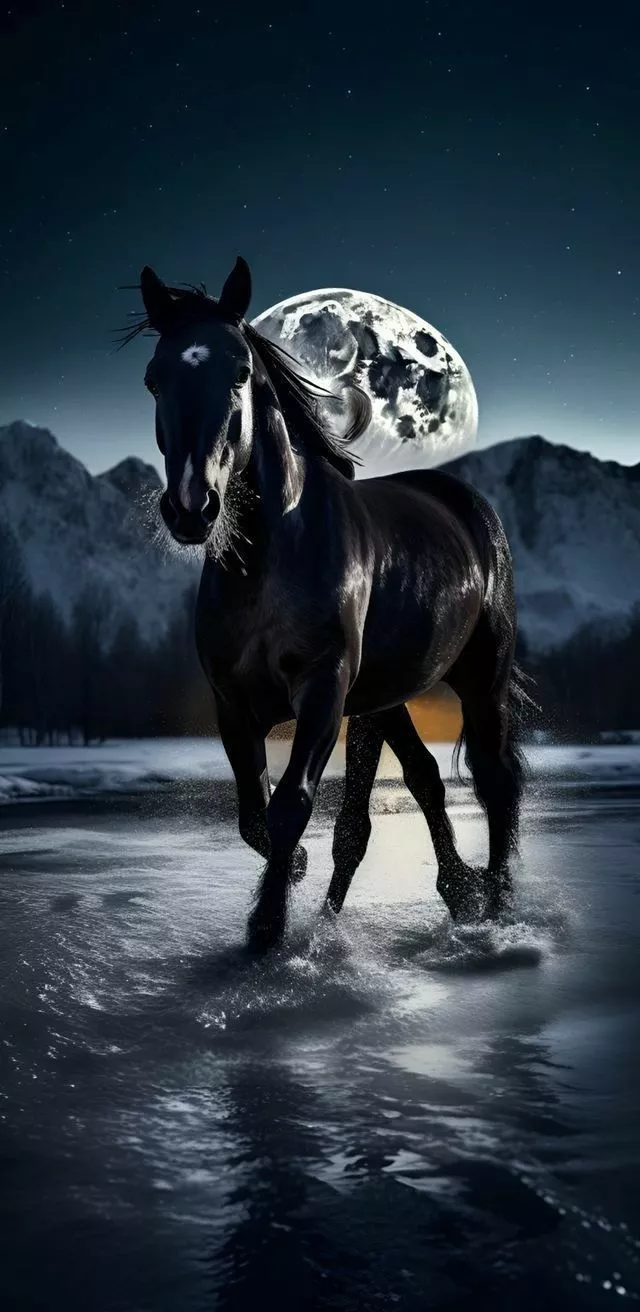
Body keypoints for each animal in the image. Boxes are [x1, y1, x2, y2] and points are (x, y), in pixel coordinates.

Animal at [123, 256, 528, 952]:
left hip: (480, 679)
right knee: (422, 779)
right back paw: (459, 891)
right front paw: (291, 883)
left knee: (494, 780)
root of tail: (468, 506)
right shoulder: (234, 706)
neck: (270, 557)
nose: (191, 508)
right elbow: (254, 816)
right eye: (155, 379)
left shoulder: (323, 690)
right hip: (386, 698)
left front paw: (267, 927)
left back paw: (495, 904)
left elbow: (291, 806)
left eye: (239, 372)